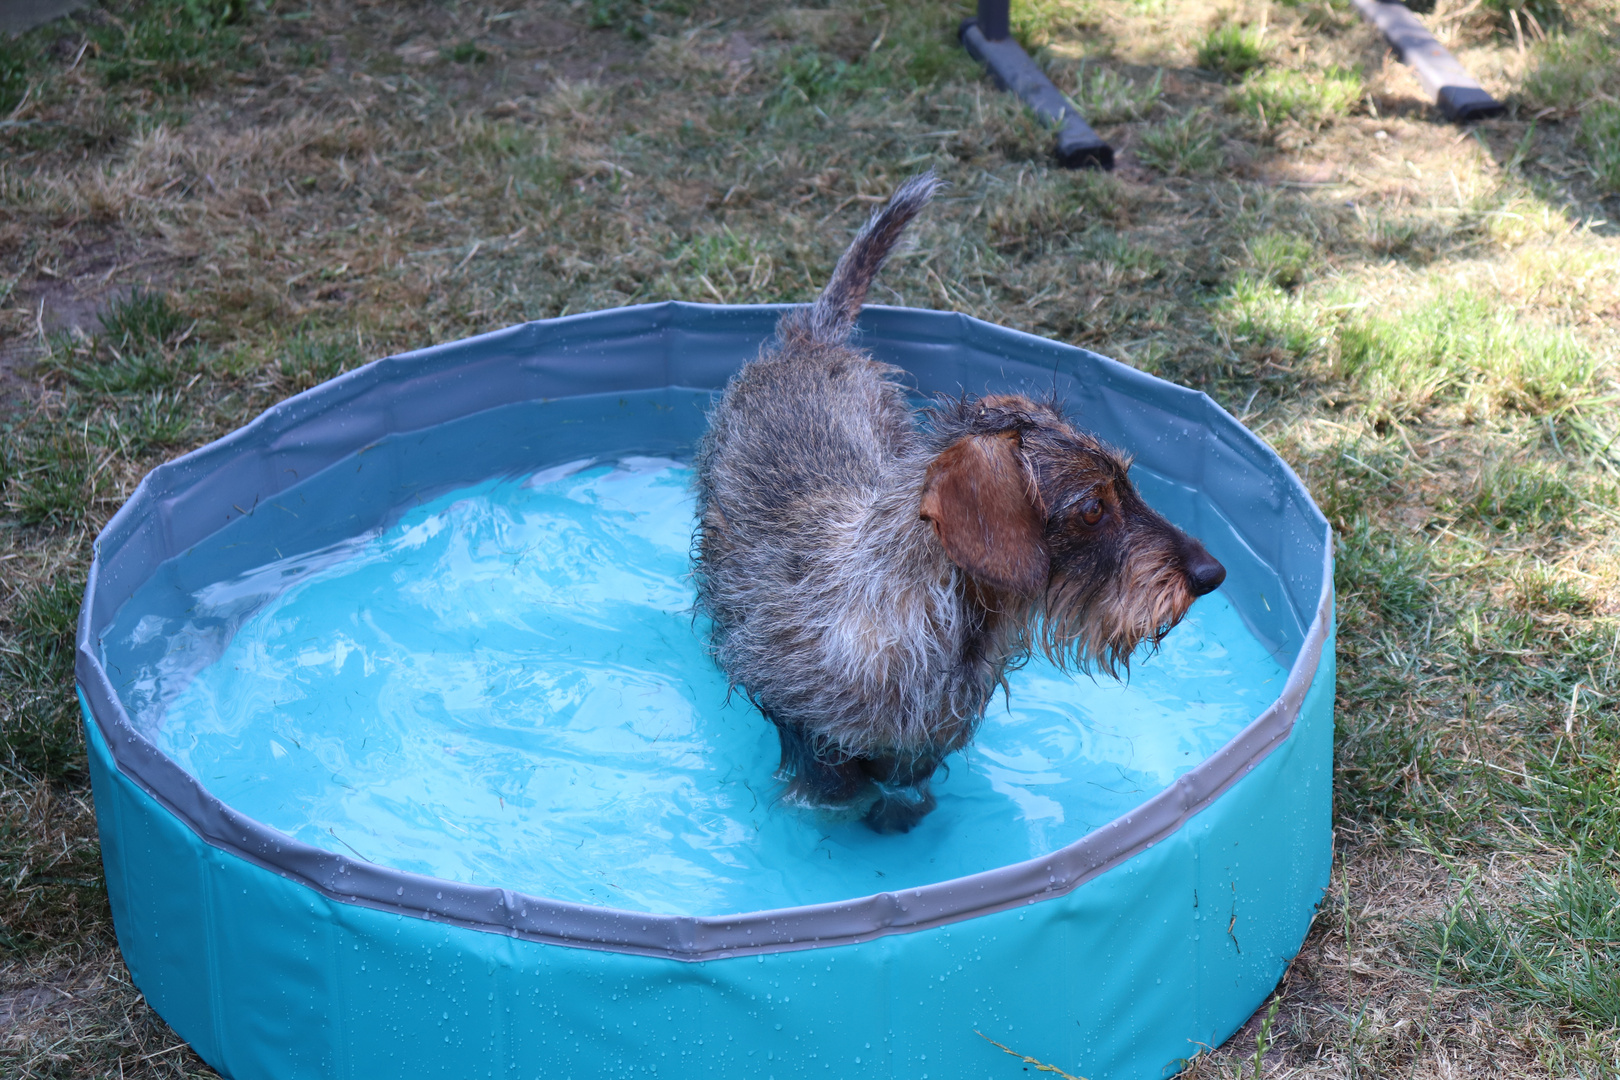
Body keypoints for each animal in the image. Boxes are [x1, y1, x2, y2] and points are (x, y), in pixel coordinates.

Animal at [686, 175, 1224, 835]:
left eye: (1128, 483)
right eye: (1093, 508)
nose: (1211, 573)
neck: (928, 618)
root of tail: (812, 338)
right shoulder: (804, 729)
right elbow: (839, 786)